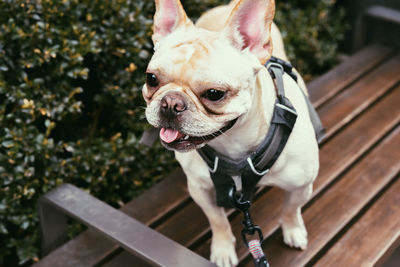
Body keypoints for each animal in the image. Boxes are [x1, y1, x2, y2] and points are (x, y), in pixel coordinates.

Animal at [142, 0, 320, 266]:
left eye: (215, 93)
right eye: (151, 79)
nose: (171, 103)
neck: (233, 143)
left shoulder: (301, 187)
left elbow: (291, 209)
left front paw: (293, 229)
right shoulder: (200, 189)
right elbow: (217, 221)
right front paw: (223, 249)